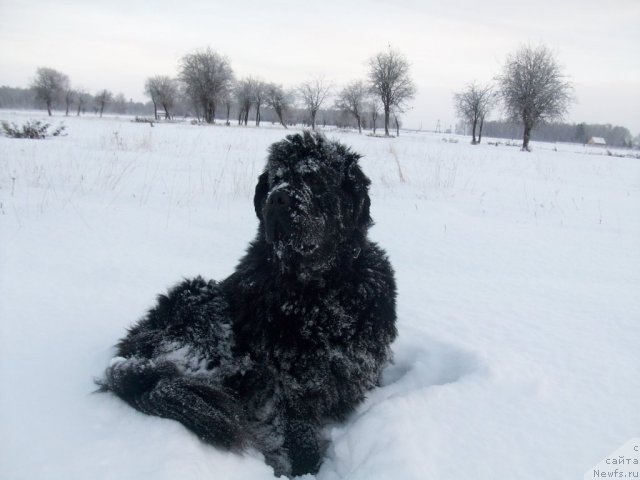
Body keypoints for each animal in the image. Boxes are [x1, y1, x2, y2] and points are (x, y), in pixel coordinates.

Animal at [99, 130, 396, 476]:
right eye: (275, 178)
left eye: (314, 177)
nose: (278, 198)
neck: (319, 293)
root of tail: (133, 351)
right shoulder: (290, 385)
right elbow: (300, 431)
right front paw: (306, 468)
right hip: (206, 310)